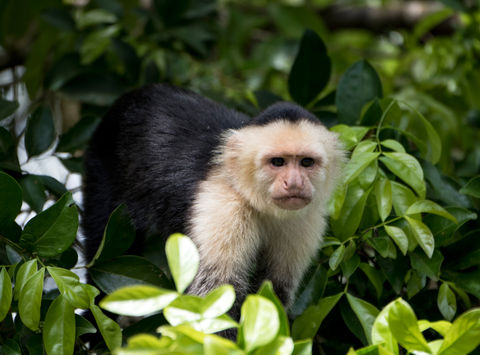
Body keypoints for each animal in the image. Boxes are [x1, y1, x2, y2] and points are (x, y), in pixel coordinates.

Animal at [83, 85, 344, 324]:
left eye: (307, 162)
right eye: (277, 162)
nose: (294, 183)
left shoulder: (304, 219)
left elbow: (276, 289)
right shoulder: (222, 206)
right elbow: (215, 294)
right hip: (101, 163)